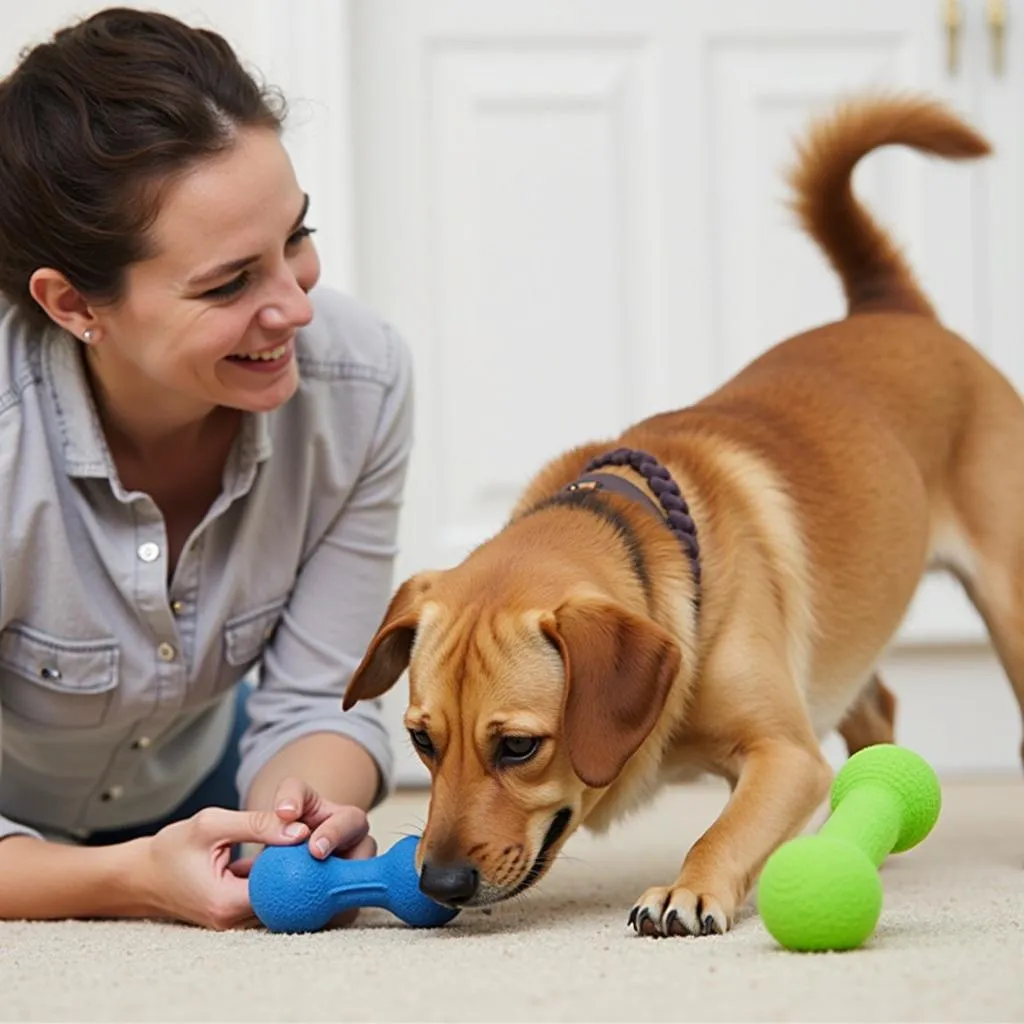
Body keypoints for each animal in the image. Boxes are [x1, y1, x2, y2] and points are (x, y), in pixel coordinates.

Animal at [346, 94, 1024, 937]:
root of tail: (892, 307)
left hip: (1011, 602)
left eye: (518, 748)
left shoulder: (786, 754)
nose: (438, 882)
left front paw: (689, 887)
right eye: (421, 740)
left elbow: (722, 829)